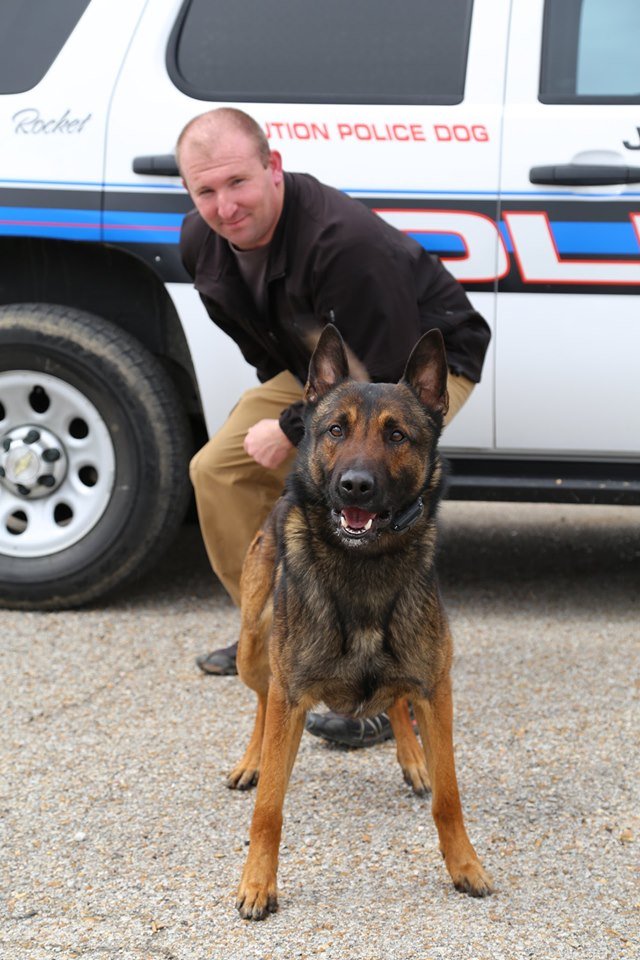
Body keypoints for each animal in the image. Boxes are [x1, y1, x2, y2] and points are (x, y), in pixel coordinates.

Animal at [228, 326, 492, 920]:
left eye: (397, 435)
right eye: (335, 430)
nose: (355, 485)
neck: (364, 567)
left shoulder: (436, 688)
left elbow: (449, 796)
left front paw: (464, 865)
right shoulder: (292, 695)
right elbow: (269, 807)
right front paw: (258, 883)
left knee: (393, 702)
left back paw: (413, 757)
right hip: (253, 647)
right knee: (260, 700)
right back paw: (252, 759)